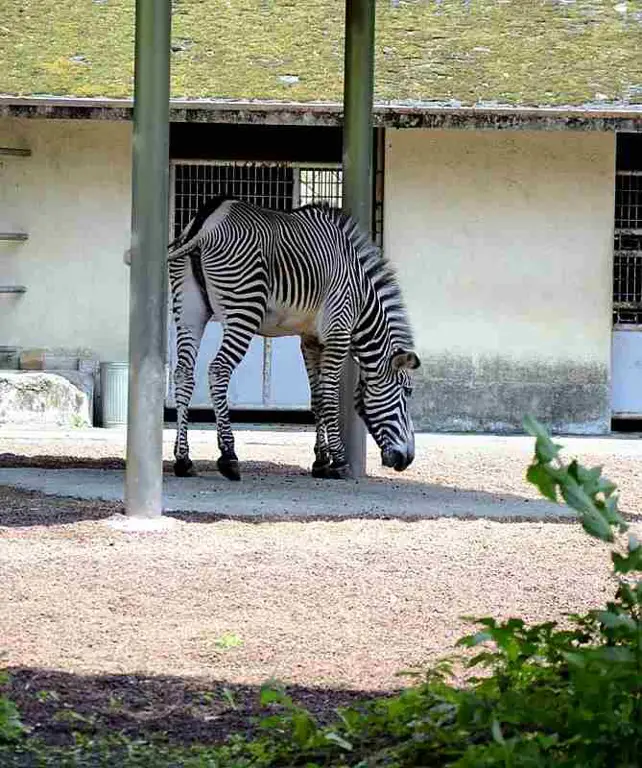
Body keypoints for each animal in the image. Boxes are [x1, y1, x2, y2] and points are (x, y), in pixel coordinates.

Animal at [165, 198, 418, 484]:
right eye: (407, 392)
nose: (407, 459)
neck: (361, 296)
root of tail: (205, 221)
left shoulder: (310, 339)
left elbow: (317, 399)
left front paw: (321, 460)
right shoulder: (338, 333)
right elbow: (330, 397)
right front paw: (339, 461)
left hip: (189, 312)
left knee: (183, 374)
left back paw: (183, 459)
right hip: (244, 308)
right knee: (218, 370)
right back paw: (229, 456)